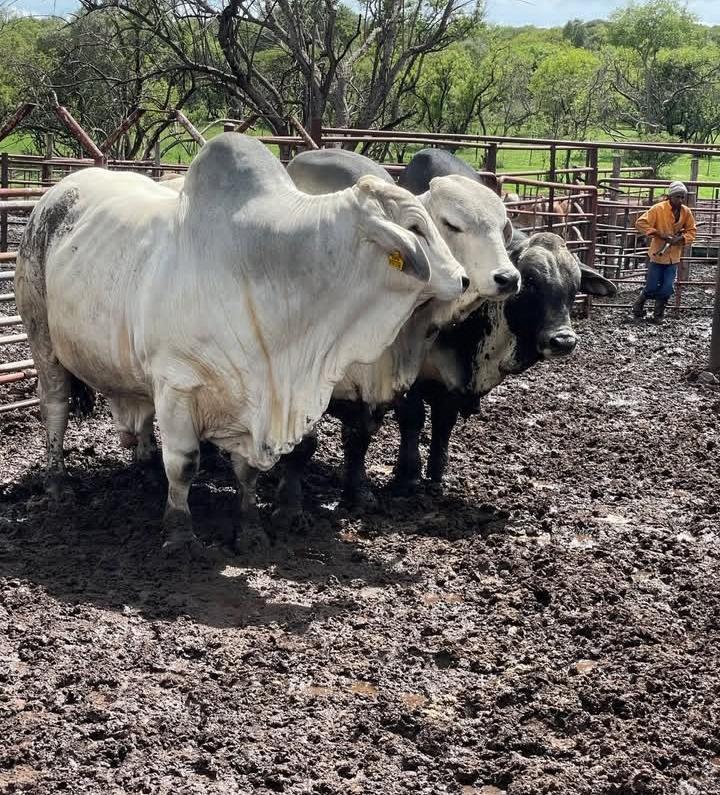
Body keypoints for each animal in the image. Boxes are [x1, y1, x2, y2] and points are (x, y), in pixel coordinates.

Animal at [15, 133, 468, 554]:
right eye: (415, 227)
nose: (463, 279)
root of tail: (52, 194)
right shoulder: (177, 383)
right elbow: (184, 463)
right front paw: (180, 534)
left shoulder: (249, 397)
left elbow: (246, 471)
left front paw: (249, 530)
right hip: (42, 341)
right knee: (54, 408)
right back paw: (57, 484)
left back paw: (144, 468)